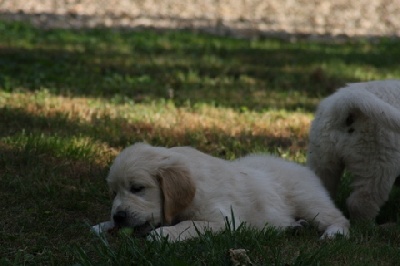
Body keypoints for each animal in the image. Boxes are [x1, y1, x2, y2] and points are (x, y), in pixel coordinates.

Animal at [92, 143, 348, 241]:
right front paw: (102, 225)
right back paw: (293, 227)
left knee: (339, 218)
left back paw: (333, 233)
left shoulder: (222, 219)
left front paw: (164, 233)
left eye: (137, 188)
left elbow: (188, 225)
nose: (118, 216)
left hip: (309, 200)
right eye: (113, 192)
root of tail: (301, 167)